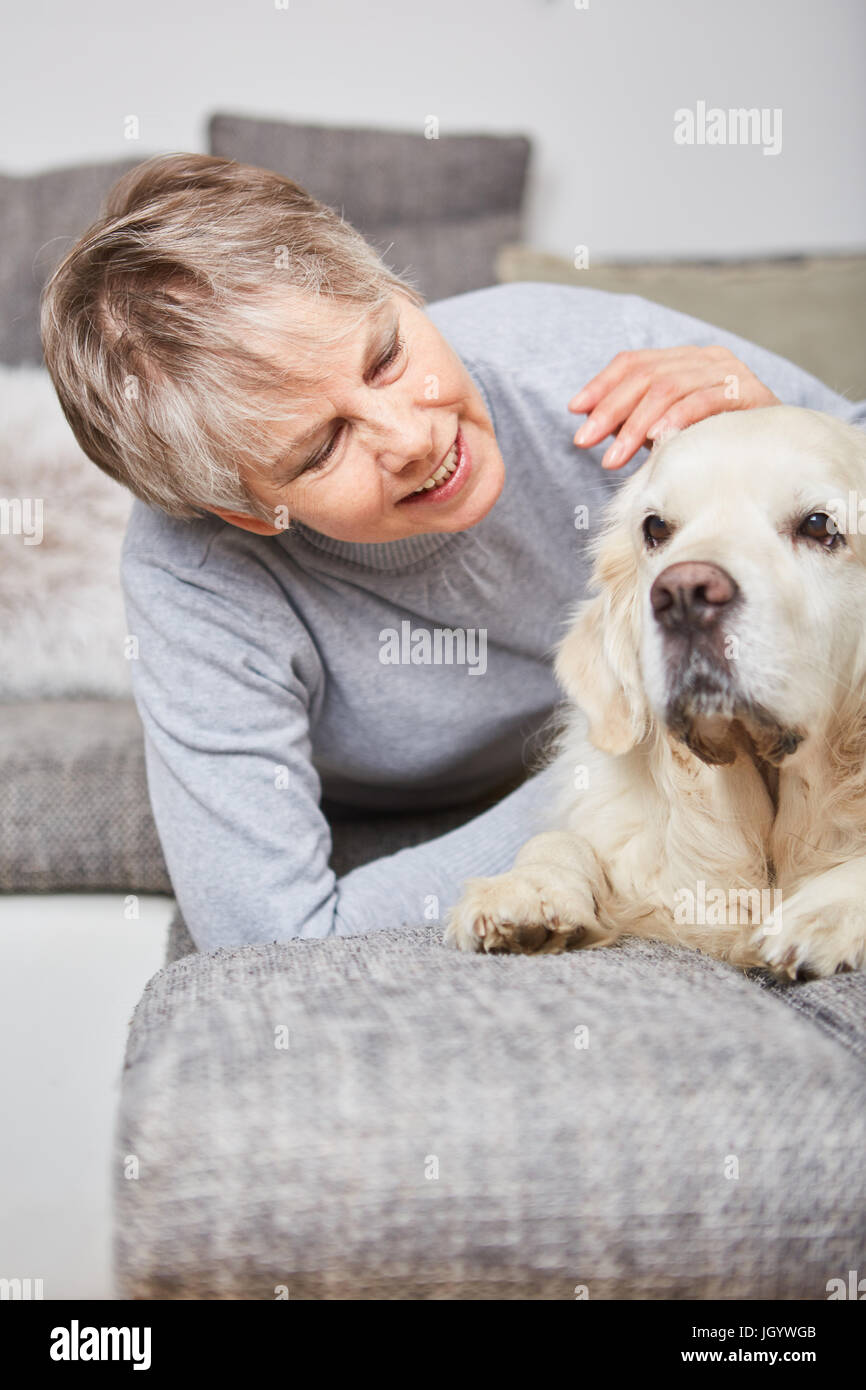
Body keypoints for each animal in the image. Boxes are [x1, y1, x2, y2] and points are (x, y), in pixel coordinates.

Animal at [450, 405, 866, 984]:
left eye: (819, 526)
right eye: (656, 528)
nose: (684, 593)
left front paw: (823, 910)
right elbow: (560, 840)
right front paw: (526, 893)